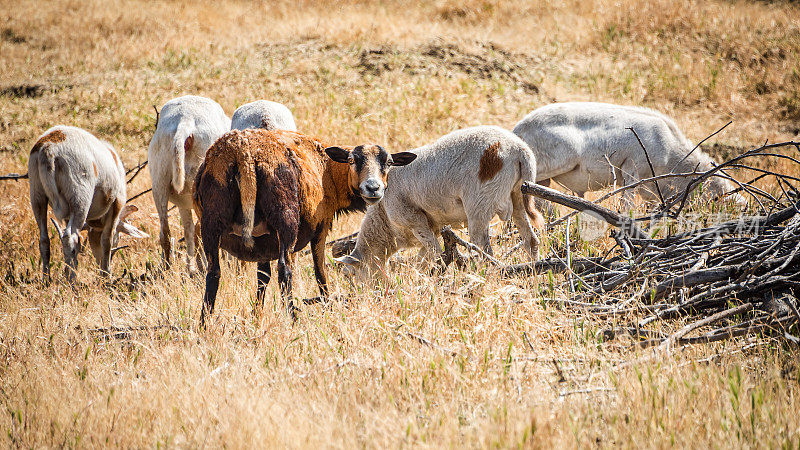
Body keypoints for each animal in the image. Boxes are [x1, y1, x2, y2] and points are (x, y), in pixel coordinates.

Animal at [28, 125, 147, 282]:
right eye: (119, 236)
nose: (100, 264)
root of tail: (49, 148)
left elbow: (79, 244)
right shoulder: (117, 203)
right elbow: (106, 240)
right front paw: (106, 275)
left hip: (37, 195)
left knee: (44, 240)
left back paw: (47, 280)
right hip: (80, 198)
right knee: (69, 237)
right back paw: (72, 281)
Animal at [148, 93, 230, 272]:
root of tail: (185, 122)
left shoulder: (183, 203)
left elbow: (188, 230)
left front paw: (189, 267)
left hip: (159, 179)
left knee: (165, 233)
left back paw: (167, 270)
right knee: (202, 231)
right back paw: (204, 267)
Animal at [195, 127, 418, 324]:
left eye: (389, 163)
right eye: (352, 161)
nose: (373, 188)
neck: (329, 171)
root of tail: (244, 155)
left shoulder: (263, 242)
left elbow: (262, 278)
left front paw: (256, 317)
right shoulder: (322, 225)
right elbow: (320, 272)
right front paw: (327, 307)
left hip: (211, 218)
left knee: (213, 273)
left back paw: (204, 325)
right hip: (286, 218)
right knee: (285, 270)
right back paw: (293, 319)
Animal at [334, 125, 548, 276]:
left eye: (348, 275)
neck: (383, 220)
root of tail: (520, 149)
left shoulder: (415, 221)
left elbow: (435, 254)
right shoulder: (431, 228)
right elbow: (424, 258)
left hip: (479, 205)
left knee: (484, 251)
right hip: (519, 196)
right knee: (531, 240)